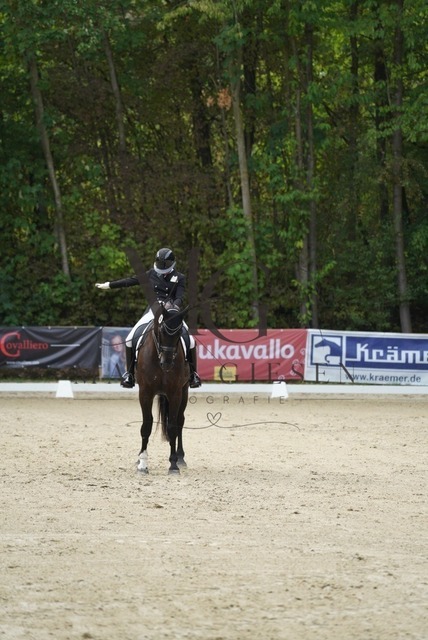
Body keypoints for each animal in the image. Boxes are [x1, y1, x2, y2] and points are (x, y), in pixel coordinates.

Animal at [135, 302, 190, 475]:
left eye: (179, 333)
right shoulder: (145, 393)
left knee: (180, 421)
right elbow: (146, 425)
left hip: (184, 392)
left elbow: (172, 426)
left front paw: (173, 464)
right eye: (162, 331)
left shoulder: (175, 393)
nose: (167, 362)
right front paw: (142, 464)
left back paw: (180, 458)